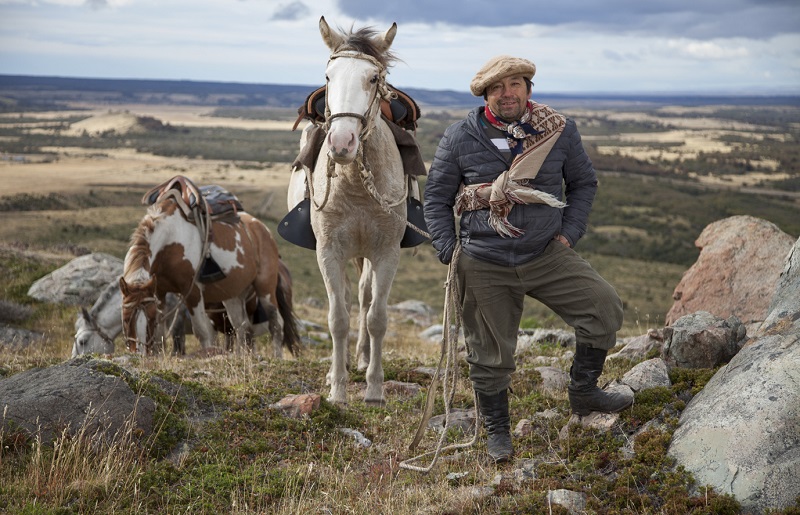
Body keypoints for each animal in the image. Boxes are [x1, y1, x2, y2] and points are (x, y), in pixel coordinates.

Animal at [120, 196, 302, 356]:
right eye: (125, 318)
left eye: (149, 318)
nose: (139, 352)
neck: (170, 240)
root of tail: (263, 229)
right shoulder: (159, 292)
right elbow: (159, 335)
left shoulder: (192, 291)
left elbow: (202, 331)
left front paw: (207, 354)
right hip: (233, 296)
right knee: (242, 328)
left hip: (266, 288)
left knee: (276, 324)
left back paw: (277, 356)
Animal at [304, 17, 410, 408]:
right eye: (328, 76)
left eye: (373, 78)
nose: (341, 144)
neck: (356, 186)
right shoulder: (328, 251)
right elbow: (338, 319)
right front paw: (337, 390)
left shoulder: (386, 253)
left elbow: (377, 317)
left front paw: (375, 389)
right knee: (352, 299)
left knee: (365, 299)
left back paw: (362, 357)